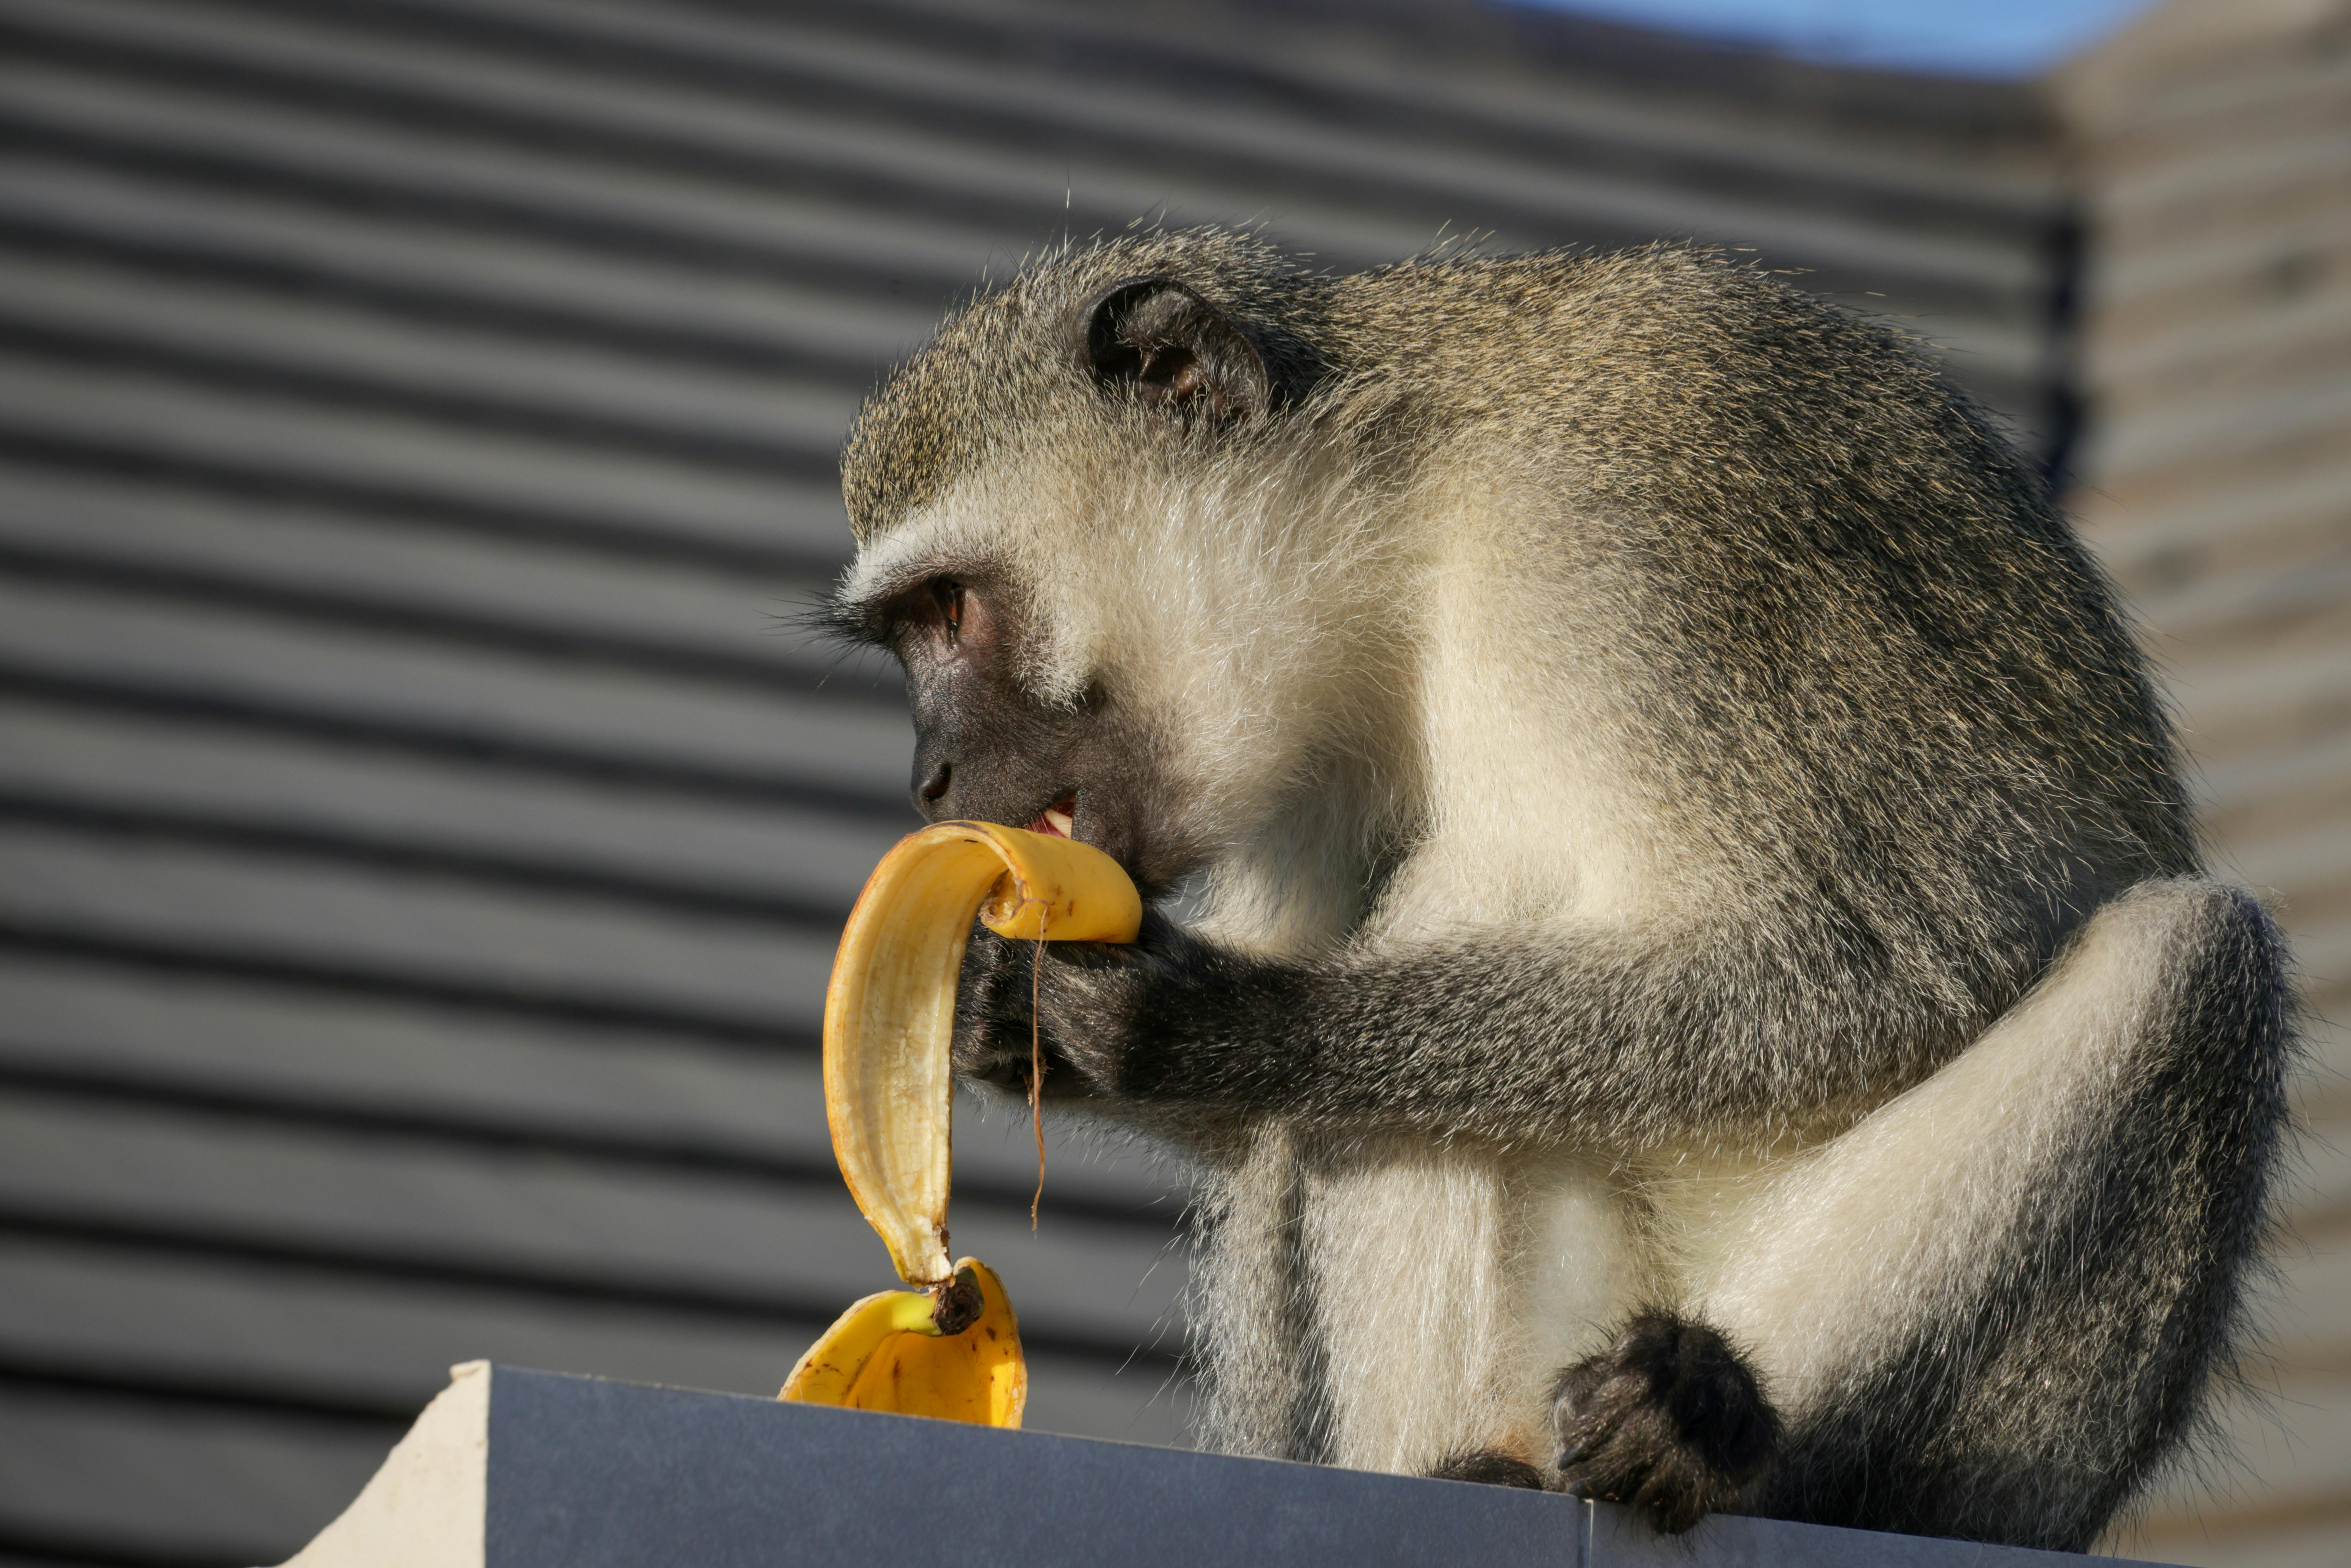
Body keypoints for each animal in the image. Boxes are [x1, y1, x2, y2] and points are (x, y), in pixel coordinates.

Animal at [821, 227, 2296, 1552]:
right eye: (904, 632)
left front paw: (1223, 1023)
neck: (1421, 527)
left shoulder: (1649, 528)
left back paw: (1717, 1438)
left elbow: (1901, 963)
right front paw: (1010, 1009)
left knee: (2193, 960)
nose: (929, 774)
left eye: (949, 609)